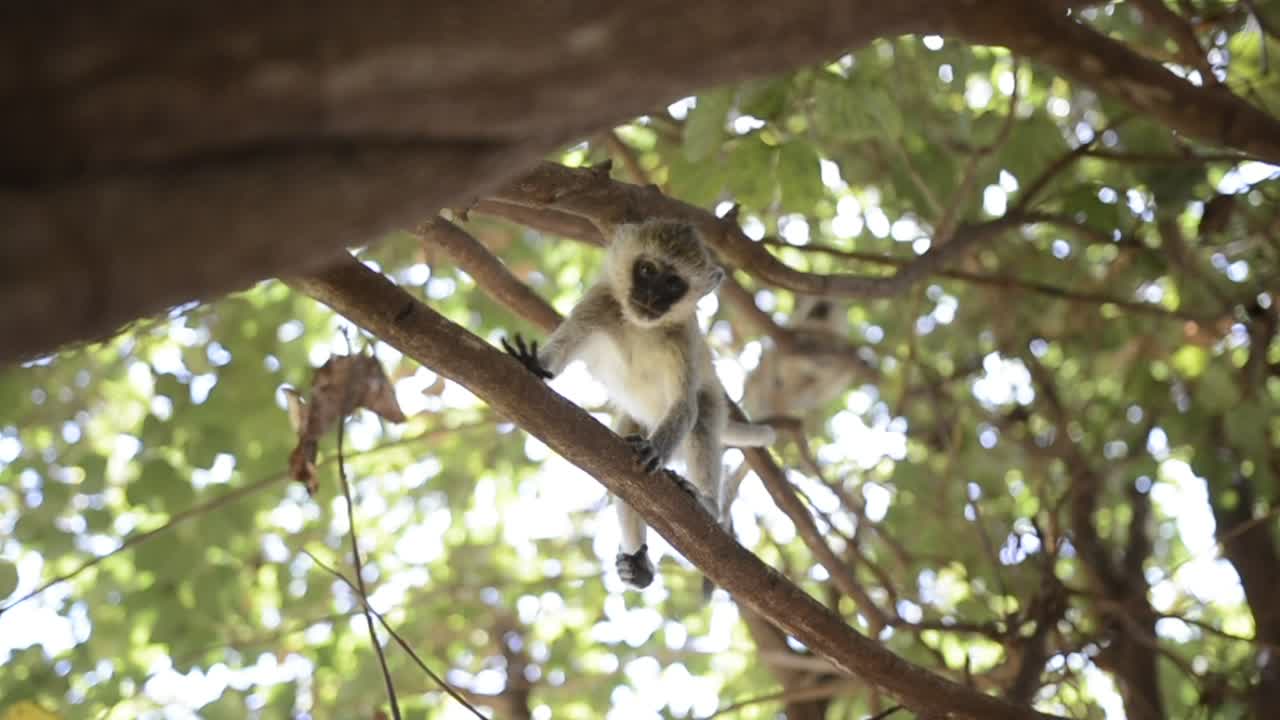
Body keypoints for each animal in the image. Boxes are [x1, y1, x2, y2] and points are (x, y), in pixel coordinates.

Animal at [502, 219, 775, 589]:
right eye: (647, 270)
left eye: (673, 283)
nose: (651, 297)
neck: (640, 327)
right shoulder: (598, 304)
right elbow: (562, 348)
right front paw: (533, 364)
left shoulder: (683, 339)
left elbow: (685, 408)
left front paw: (655, 450)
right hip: (638, 420)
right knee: (622, 470)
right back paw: (637, 560)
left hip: (712, 407)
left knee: (701, 421)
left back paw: (706, 503)